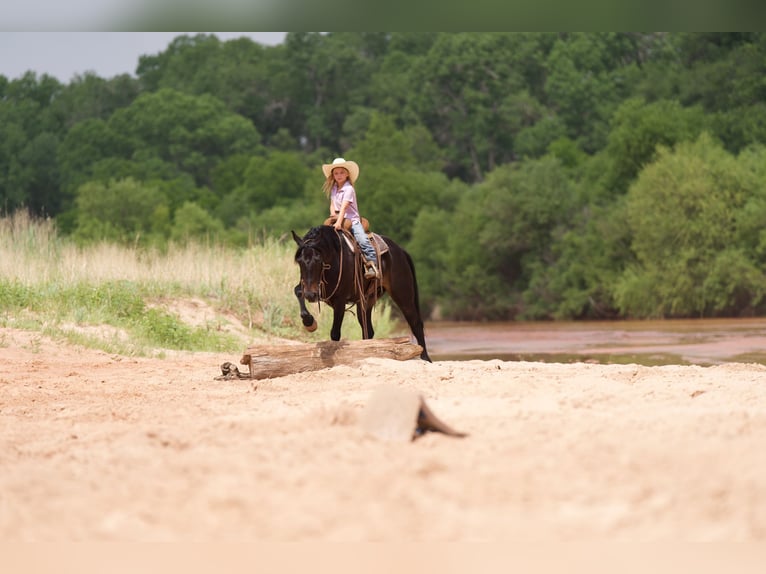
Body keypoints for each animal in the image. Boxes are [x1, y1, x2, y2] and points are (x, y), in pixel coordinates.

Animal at [292, 224, 432, 360]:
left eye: (318, 259)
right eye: (299, 261)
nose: (310, 295)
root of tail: (401, 251)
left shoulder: (340, 300)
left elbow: (335, 333)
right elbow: (298, 291)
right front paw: (309, 322)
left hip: (403, 294)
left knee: (416, 323)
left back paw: (425, 358)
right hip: (366, 301)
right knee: (368, 330)